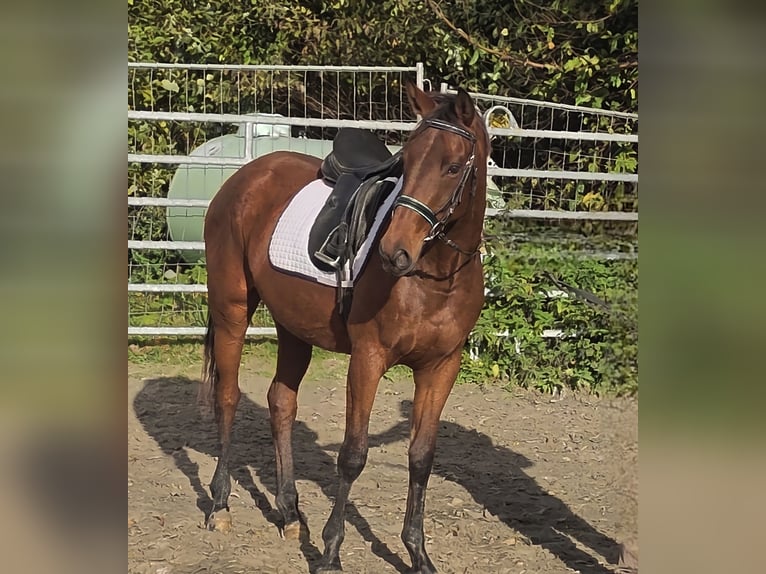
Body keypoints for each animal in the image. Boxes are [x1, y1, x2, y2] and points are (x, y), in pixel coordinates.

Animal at [198, 82, 490, 573]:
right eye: (407, 162)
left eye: (452, 167)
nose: (393, 252)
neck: (436, 278)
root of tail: (246, 177)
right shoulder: (368, 359)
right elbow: (353, 456)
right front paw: (332, 553)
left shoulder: (441, 368)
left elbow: (421, 457)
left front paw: (418, 553)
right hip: (231, 310)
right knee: (228, 396)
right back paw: (220, 505)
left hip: (293, 326)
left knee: (281, 402)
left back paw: (290, 513)